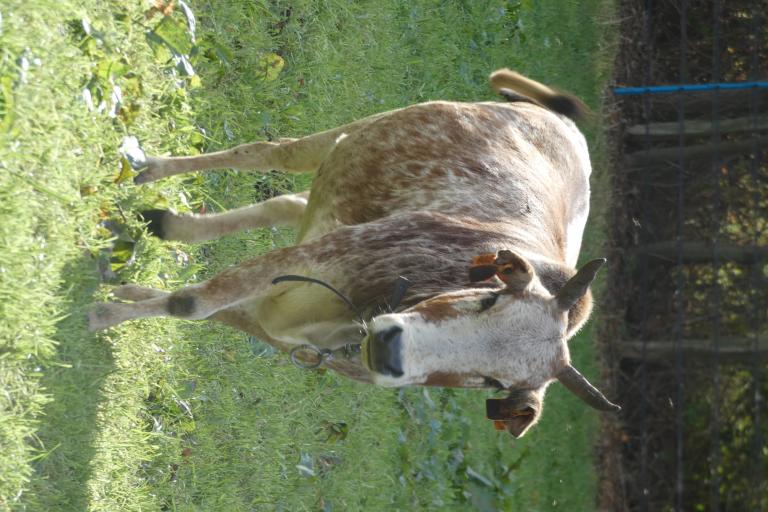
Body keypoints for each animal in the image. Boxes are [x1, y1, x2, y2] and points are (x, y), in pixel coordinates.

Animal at [88, 68, 616, 436]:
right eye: (489, 299)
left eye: (496, 383)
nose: (390, 349)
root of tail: (563, 123)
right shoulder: (316, 255)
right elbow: (191, 302)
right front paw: (101, 314)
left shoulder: (273, 324)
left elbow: (197, 304)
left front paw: (124, 293)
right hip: (357, 133)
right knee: (268, 152)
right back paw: (150, 168)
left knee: (285, 203)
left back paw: (168, 222)